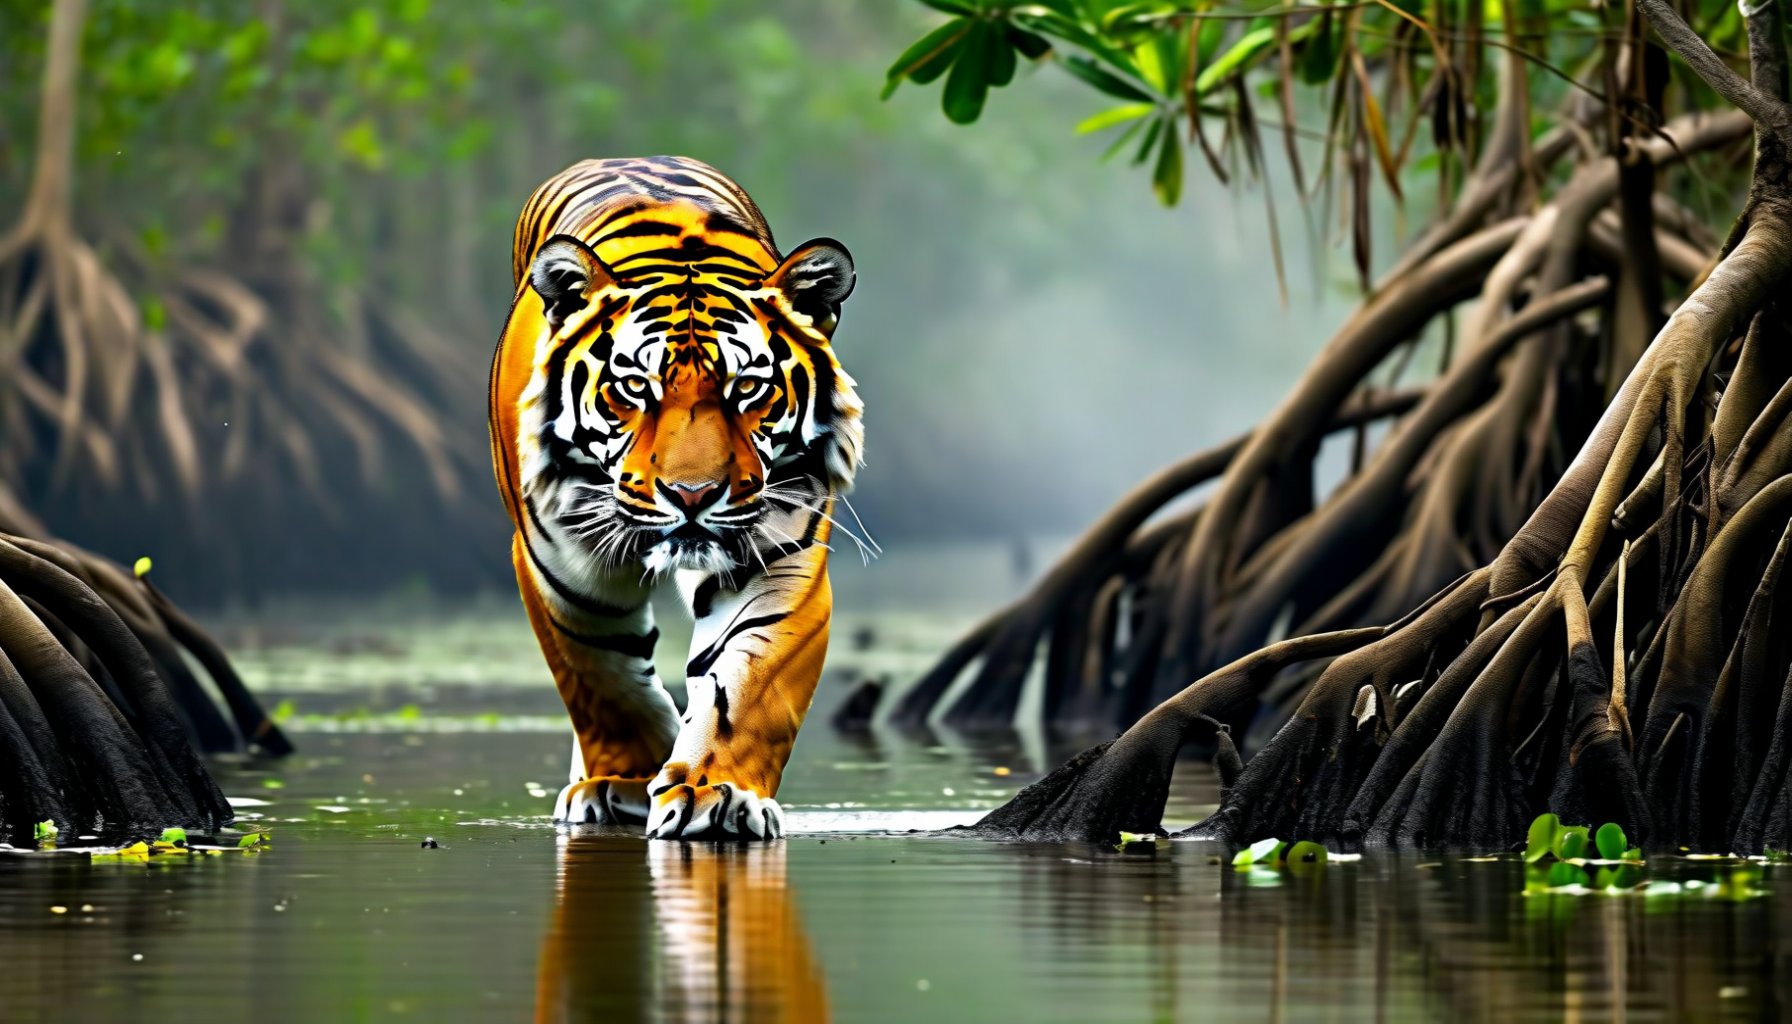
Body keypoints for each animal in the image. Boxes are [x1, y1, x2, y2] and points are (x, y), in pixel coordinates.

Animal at [488, 156, 861, 840]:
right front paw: (625, 782)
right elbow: (601, 678)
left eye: (747, 388)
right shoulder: (560, 567)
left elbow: (742, 687)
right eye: (635, 387)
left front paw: (716, 793)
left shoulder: (778, 556)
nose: (693, 494)